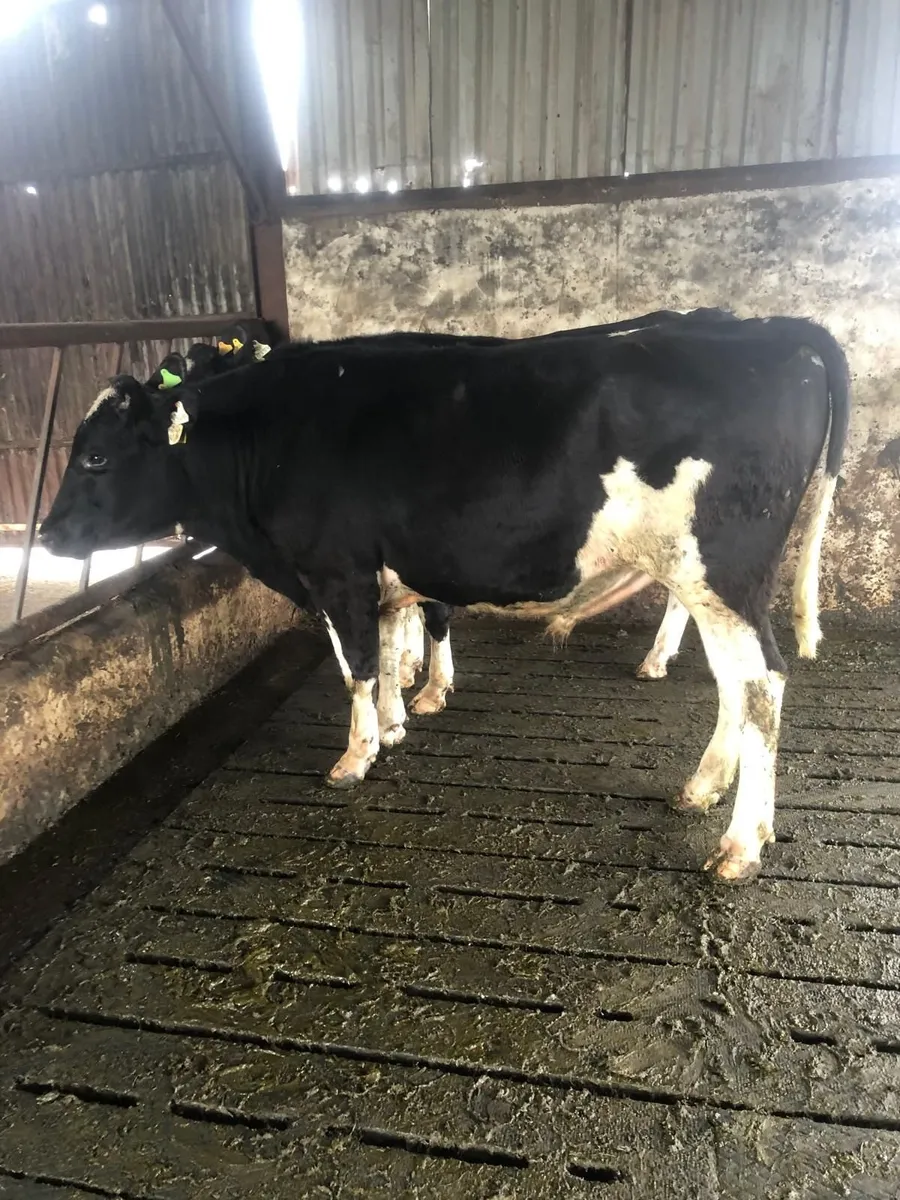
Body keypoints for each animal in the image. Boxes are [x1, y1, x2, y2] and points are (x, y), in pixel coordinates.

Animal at [40, 316, 849, 882]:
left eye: (96, 456)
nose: (46, 533)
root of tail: (774, 329)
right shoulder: (384, 572)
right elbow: (394, 635)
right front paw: (400, 721)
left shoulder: (336, 571)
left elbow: (358, 663)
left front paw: (358, 754)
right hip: (706, 579)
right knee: (735, 685)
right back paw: (703, 786)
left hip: (722, 571)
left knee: (761, 684)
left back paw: (741, 844)